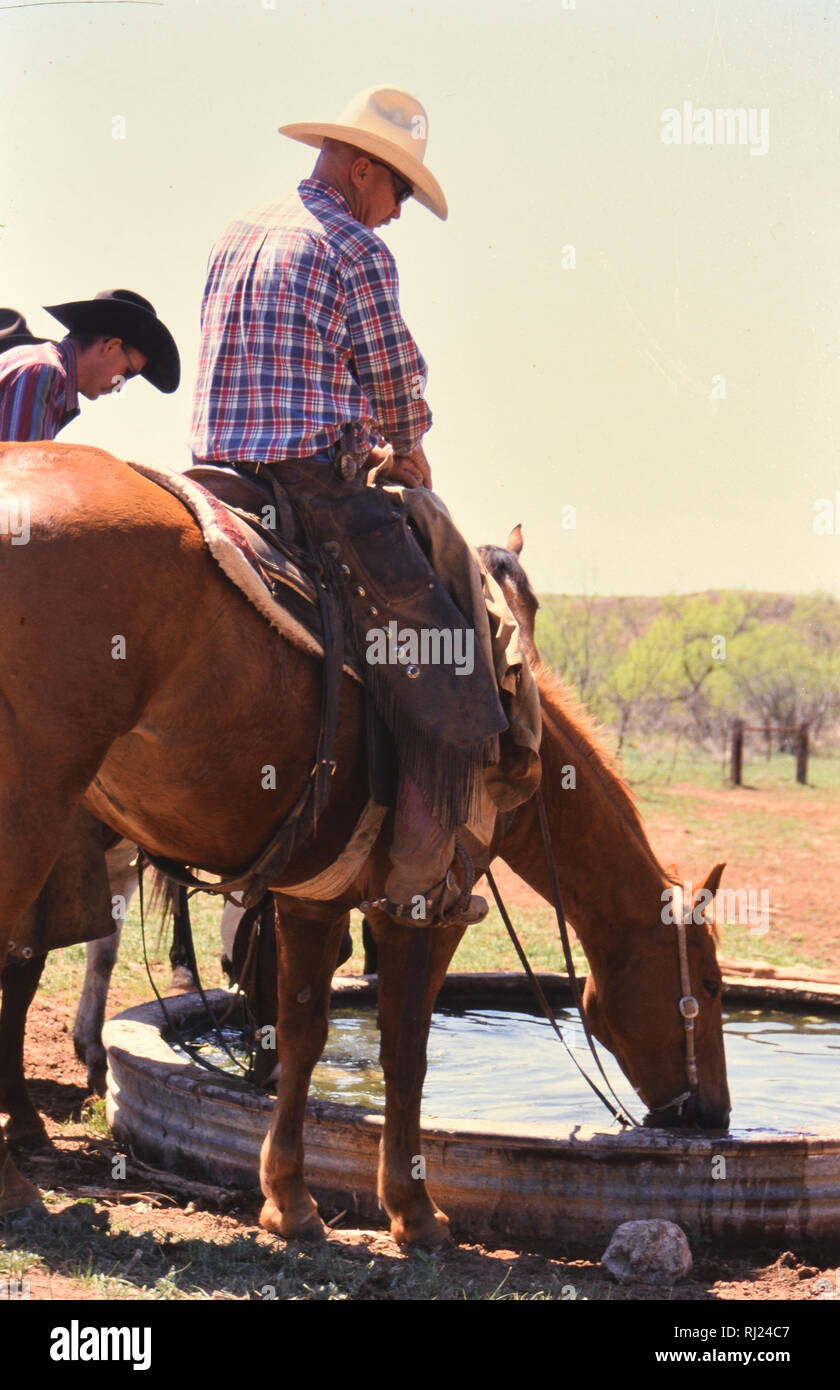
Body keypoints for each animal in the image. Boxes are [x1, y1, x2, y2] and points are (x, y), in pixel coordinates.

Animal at [0, 444, 728, 1239]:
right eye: (712, 986)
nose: (716, 1117)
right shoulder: (428, 907)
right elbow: (405, 1049)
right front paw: (414, 1210)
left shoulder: (310, 897)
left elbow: (303, 1033)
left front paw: (289, 1201)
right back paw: (18, 1178)